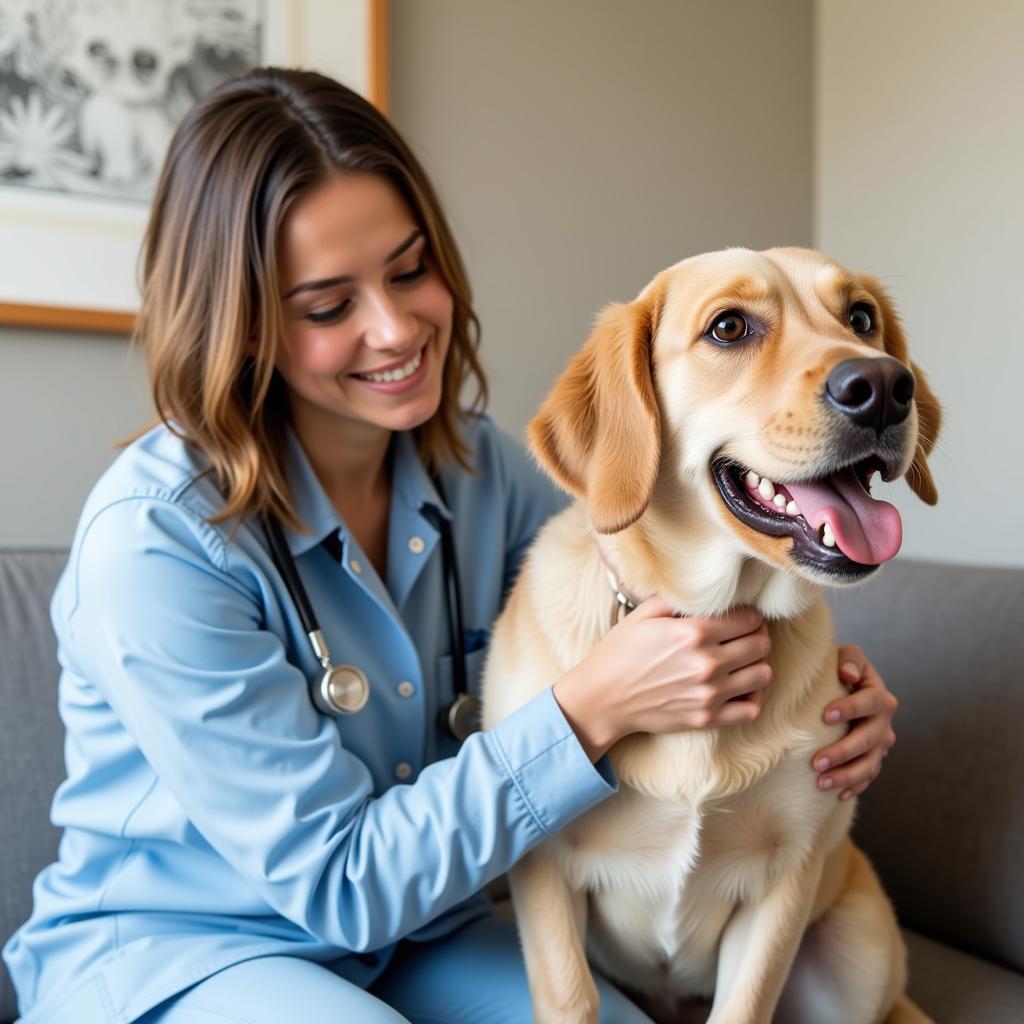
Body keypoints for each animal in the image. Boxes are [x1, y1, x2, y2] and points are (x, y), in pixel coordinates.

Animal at [481, 247, 942, 1024]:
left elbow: (746, 1006)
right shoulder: (541, 870)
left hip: (854, 957)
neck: (712, 616)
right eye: (728, 327)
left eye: (860, 318)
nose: (883, 386)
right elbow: (571, 995)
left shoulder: (787, 877)